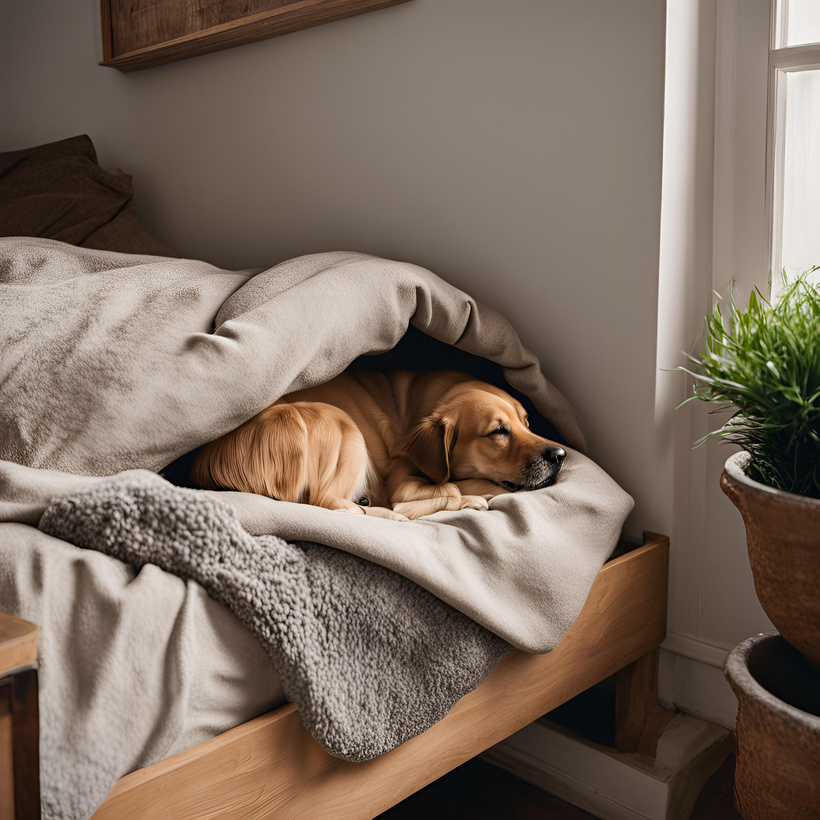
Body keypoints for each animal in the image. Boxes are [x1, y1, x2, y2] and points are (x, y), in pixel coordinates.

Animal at [192, 370, 564, 520]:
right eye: (498, 431)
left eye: (527, 423)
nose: (559, 454)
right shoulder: (401, 481)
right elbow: (451, 487)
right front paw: (473, 495)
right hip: (343, 426)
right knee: (328, 503)